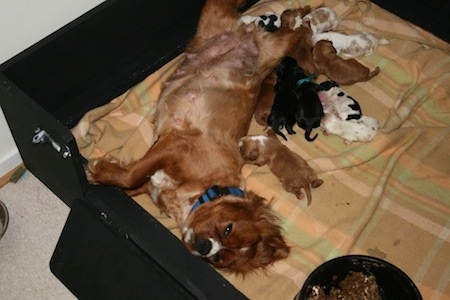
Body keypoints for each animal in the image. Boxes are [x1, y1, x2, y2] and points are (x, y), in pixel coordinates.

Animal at [85, 0, 302, 274]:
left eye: (219, 260)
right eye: (227, 229)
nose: (205, 247)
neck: (202, 190)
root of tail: (247, 34)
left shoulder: (156, 173)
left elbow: (130, 181)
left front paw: (106, 170)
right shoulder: (177, 144)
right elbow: (131, 175)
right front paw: (97, 173)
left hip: (239, 29)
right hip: (261, 39)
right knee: (293, 29)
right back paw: (290, 16)